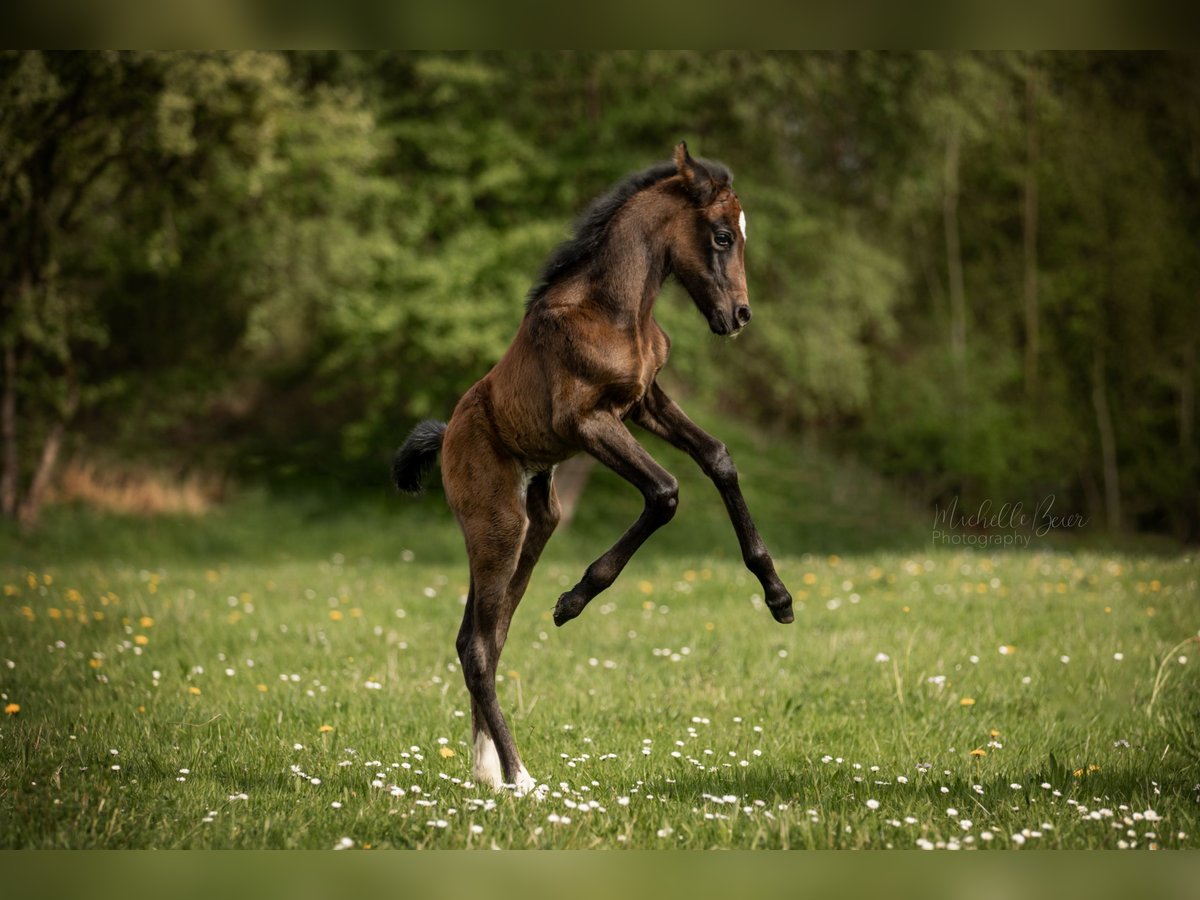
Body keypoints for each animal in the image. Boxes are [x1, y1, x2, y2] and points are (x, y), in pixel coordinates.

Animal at [393, 144, 792, 801]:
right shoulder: (587, 421)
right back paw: (521, 778)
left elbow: (717, 458)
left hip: (536, 524)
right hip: (496, 524)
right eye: (720, 234)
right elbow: (665, 492)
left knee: (485, 638)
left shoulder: (646, 401)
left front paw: (778, 595)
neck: (615, 309)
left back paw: (486, 772)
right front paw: (574, 600)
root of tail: (446, 434)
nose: (739, 315)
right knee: (476, 647)